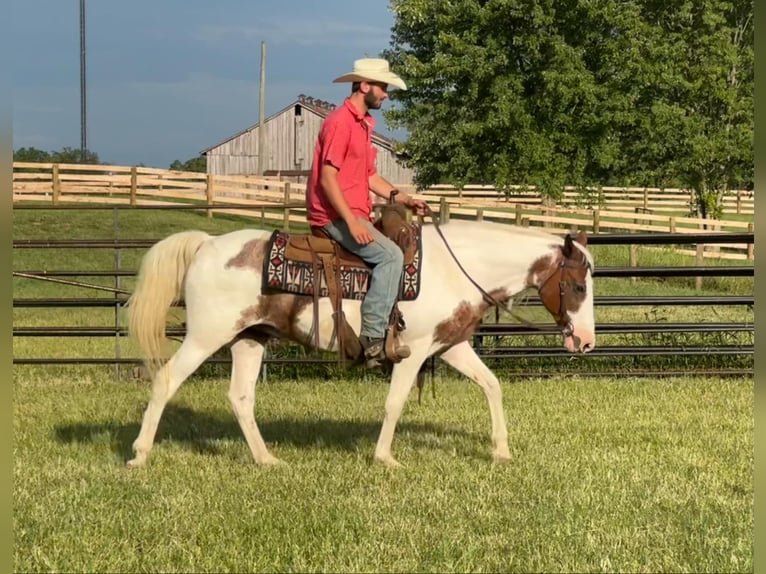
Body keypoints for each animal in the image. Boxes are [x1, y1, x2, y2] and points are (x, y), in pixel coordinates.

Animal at [126, 219, 595, 468]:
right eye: (576, 286)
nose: (587, 342)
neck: (454, 268)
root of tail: (207, 244)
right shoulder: (414, 351)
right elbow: (395, 402)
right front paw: (385, 457)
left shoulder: (451, 346)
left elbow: (492, 385)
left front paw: (501, 451)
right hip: (206, 335)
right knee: (165, 381)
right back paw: (140, 455)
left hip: (249, 338)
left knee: (241, 397)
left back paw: (267, 460)